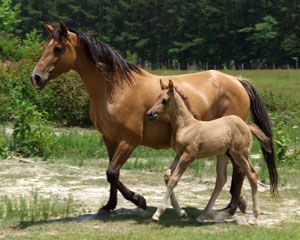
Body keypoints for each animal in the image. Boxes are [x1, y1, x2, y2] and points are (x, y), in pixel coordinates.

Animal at [29, 23, 278, 220]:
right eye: (45, 47)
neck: (115, 89)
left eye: (58, 48)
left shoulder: (129, 141)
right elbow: (110, 174)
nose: (36, 77)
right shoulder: (109, 139)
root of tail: (237, 80)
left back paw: (229, 209)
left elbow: (112, 173)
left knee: (240, 172)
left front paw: (140, 200)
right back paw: (233, 206)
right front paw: (109, 206)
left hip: (233, 146)